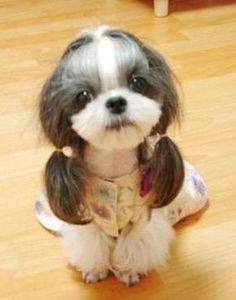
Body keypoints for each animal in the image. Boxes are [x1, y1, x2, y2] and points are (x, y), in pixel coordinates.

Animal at [39, 25, 184, 286]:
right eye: (83, 95)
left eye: (137, 82)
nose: (116, 101)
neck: (114, 165)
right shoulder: (87, 215)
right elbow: (93, 242)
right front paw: (95, 270)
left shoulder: (142, 217)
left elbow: (134, 242)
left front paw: (128, 271)